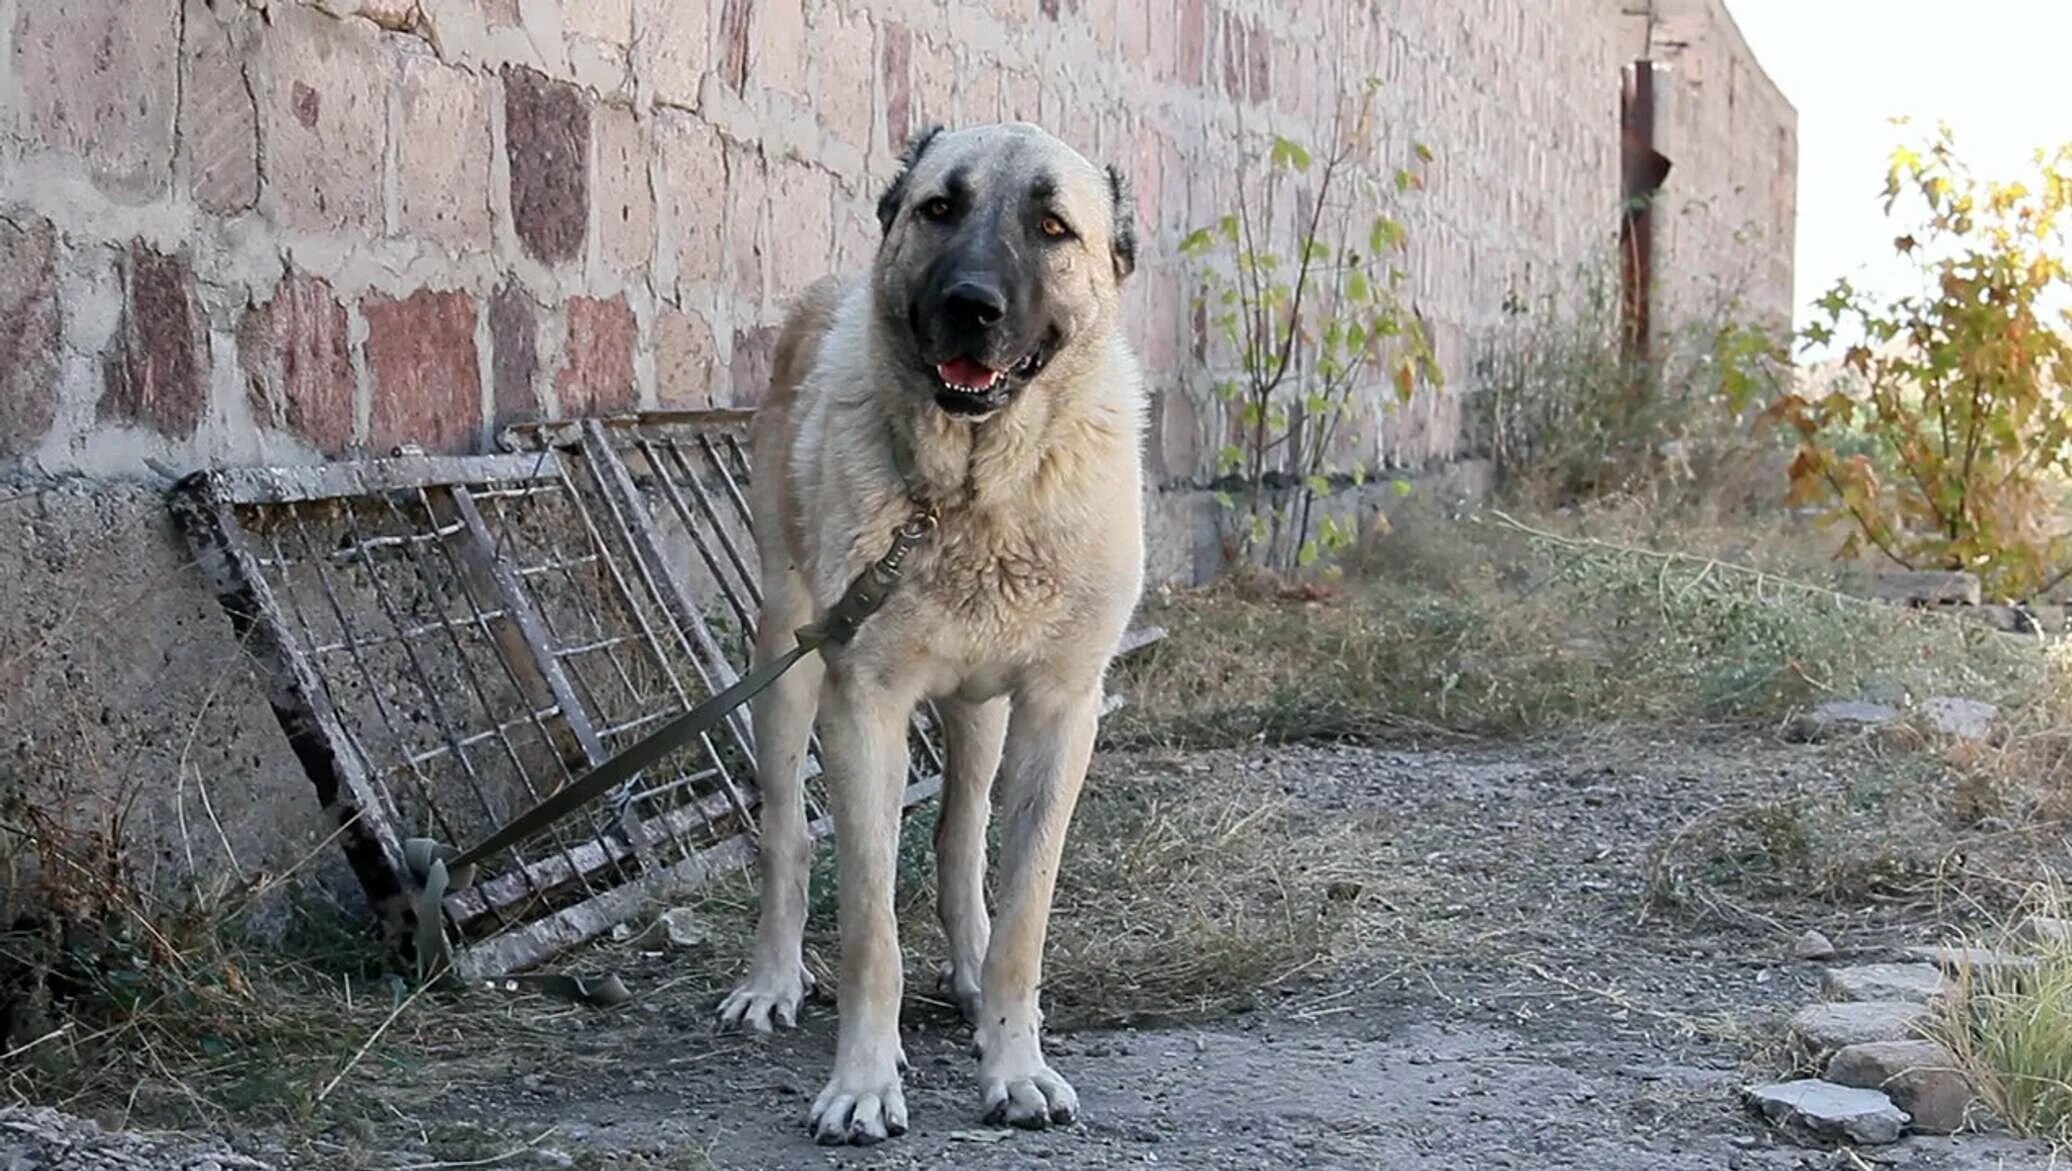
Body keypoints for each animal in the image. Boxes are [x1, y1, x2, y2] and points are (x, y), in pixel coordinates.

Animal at [716, 123, 1152, 1144]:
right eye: (940, 208)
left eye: (1052, 227)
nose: (969, 307)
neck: (974, 494)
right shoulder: (862, 706)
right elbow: (870, 926)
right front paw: (864, 1082)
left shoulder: (1059, 711)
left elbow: (1024, 912)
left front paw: (1014, 1061)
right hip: (785, 662)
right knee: (787, 836)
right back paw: (772, 977)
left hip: (979, 713)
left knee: (960, 842)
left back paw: (970, 974)